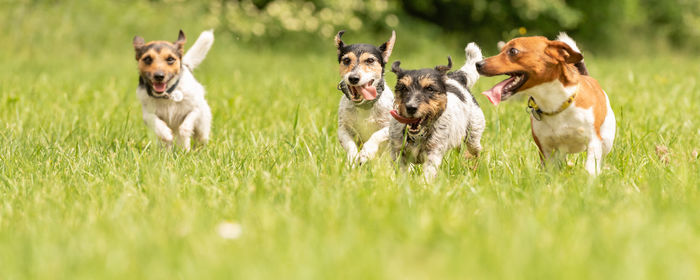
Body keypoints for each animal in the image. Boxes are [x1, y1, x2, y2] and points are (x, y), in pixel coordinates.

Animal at [478, 33, 616, 175]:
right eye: (501, 50)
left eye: (513, 51)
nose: (478, 64)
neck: (555, 104)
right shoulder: (546, 148)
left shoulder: (593, 141)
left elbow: (590, 166)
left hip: (606, 141)